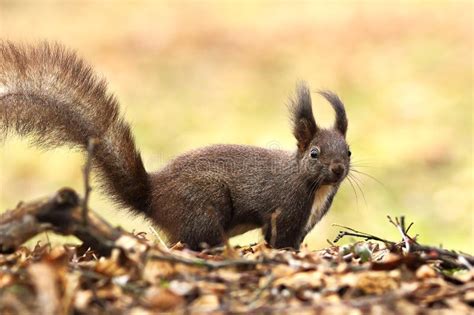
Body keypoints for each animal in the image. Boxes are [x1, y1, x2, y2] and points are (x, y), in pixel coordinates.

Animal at [0, 42, 350, 251]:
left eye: (348, 151)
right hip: (203, 205)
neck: (312, 185)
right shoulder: (285, 209)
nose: (338, 169)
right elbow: (279, 240)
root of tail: (153, 196)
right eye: (314, 153)